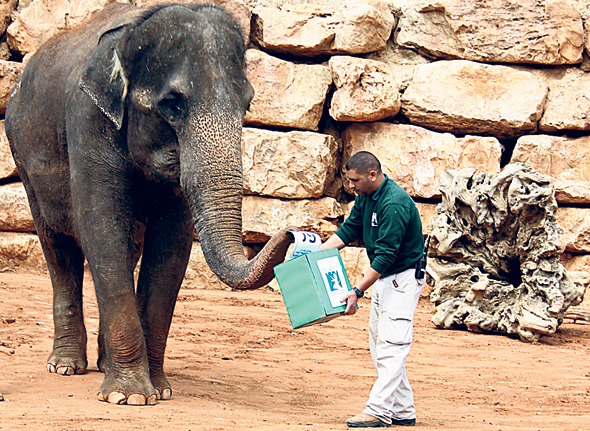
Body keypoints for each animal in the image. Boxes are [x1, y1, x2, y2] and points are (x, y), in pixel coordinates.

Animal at [3, 1, 292, 404]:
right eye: (172, 105)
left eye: (247, 104)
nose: (294, 233)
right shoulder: (87, 120)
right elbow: (102, 227)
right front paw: (130, 397)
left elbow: (170, 245)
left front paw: (160, 391)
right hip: (23, 155)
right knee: (57, 245)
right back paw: (65, 366)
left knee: (127, 247)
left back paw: (102, 364)